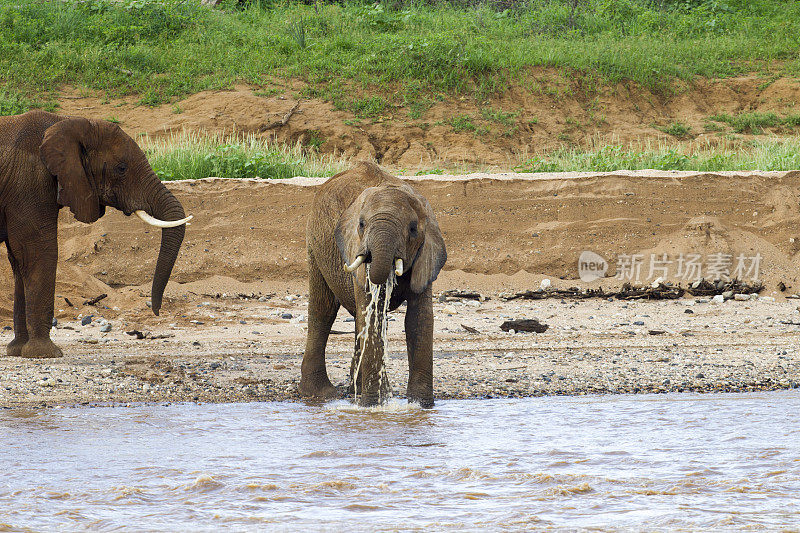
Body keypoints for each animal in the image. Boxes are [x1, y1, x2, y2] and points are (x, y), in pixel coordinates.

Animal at [0, 110, 192, 358]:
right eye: (121, 168)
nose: (157, 311)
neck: (65, 123)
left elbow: (19, 260)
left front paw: (18, 351)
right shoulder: (29, 183)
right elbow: (37, 252)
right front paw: (44, 354)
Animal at [302, 160, 446, 406]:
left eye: (413, 228)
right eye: (361, 224)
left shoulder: (426, 253)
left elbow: (419, 319)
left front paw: (420, 405)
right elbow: (373, 315)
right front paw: (373, 405)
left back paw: (355, 391)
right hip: (316, 243)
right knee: (323, 310)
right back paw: (321, 394)